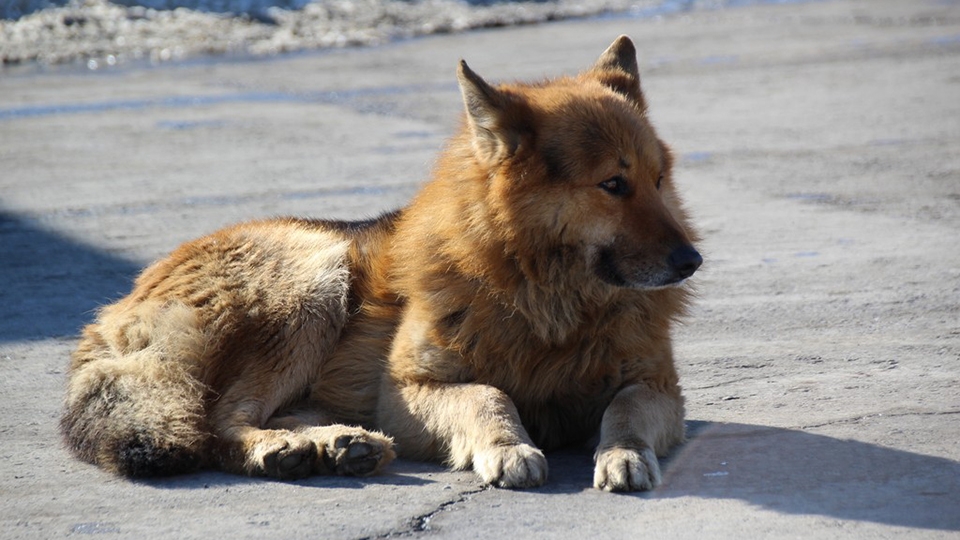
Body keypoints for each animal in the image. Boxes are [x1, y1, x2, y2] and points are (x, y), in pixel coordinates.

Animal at [63, 37, 700, 494]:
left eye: (658, 181)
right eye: (613, 185)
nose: (692, 261)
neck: (549, 301)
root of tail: (114, 310)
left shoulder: (659, 387)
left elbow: (624, 408)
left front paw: (623, 453)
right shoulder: (409, 392)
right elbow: (488, 393)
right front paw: (507, 446)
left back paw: (340, 443)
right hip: (313, 281)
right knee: (220, 420)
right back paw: (285, 450)